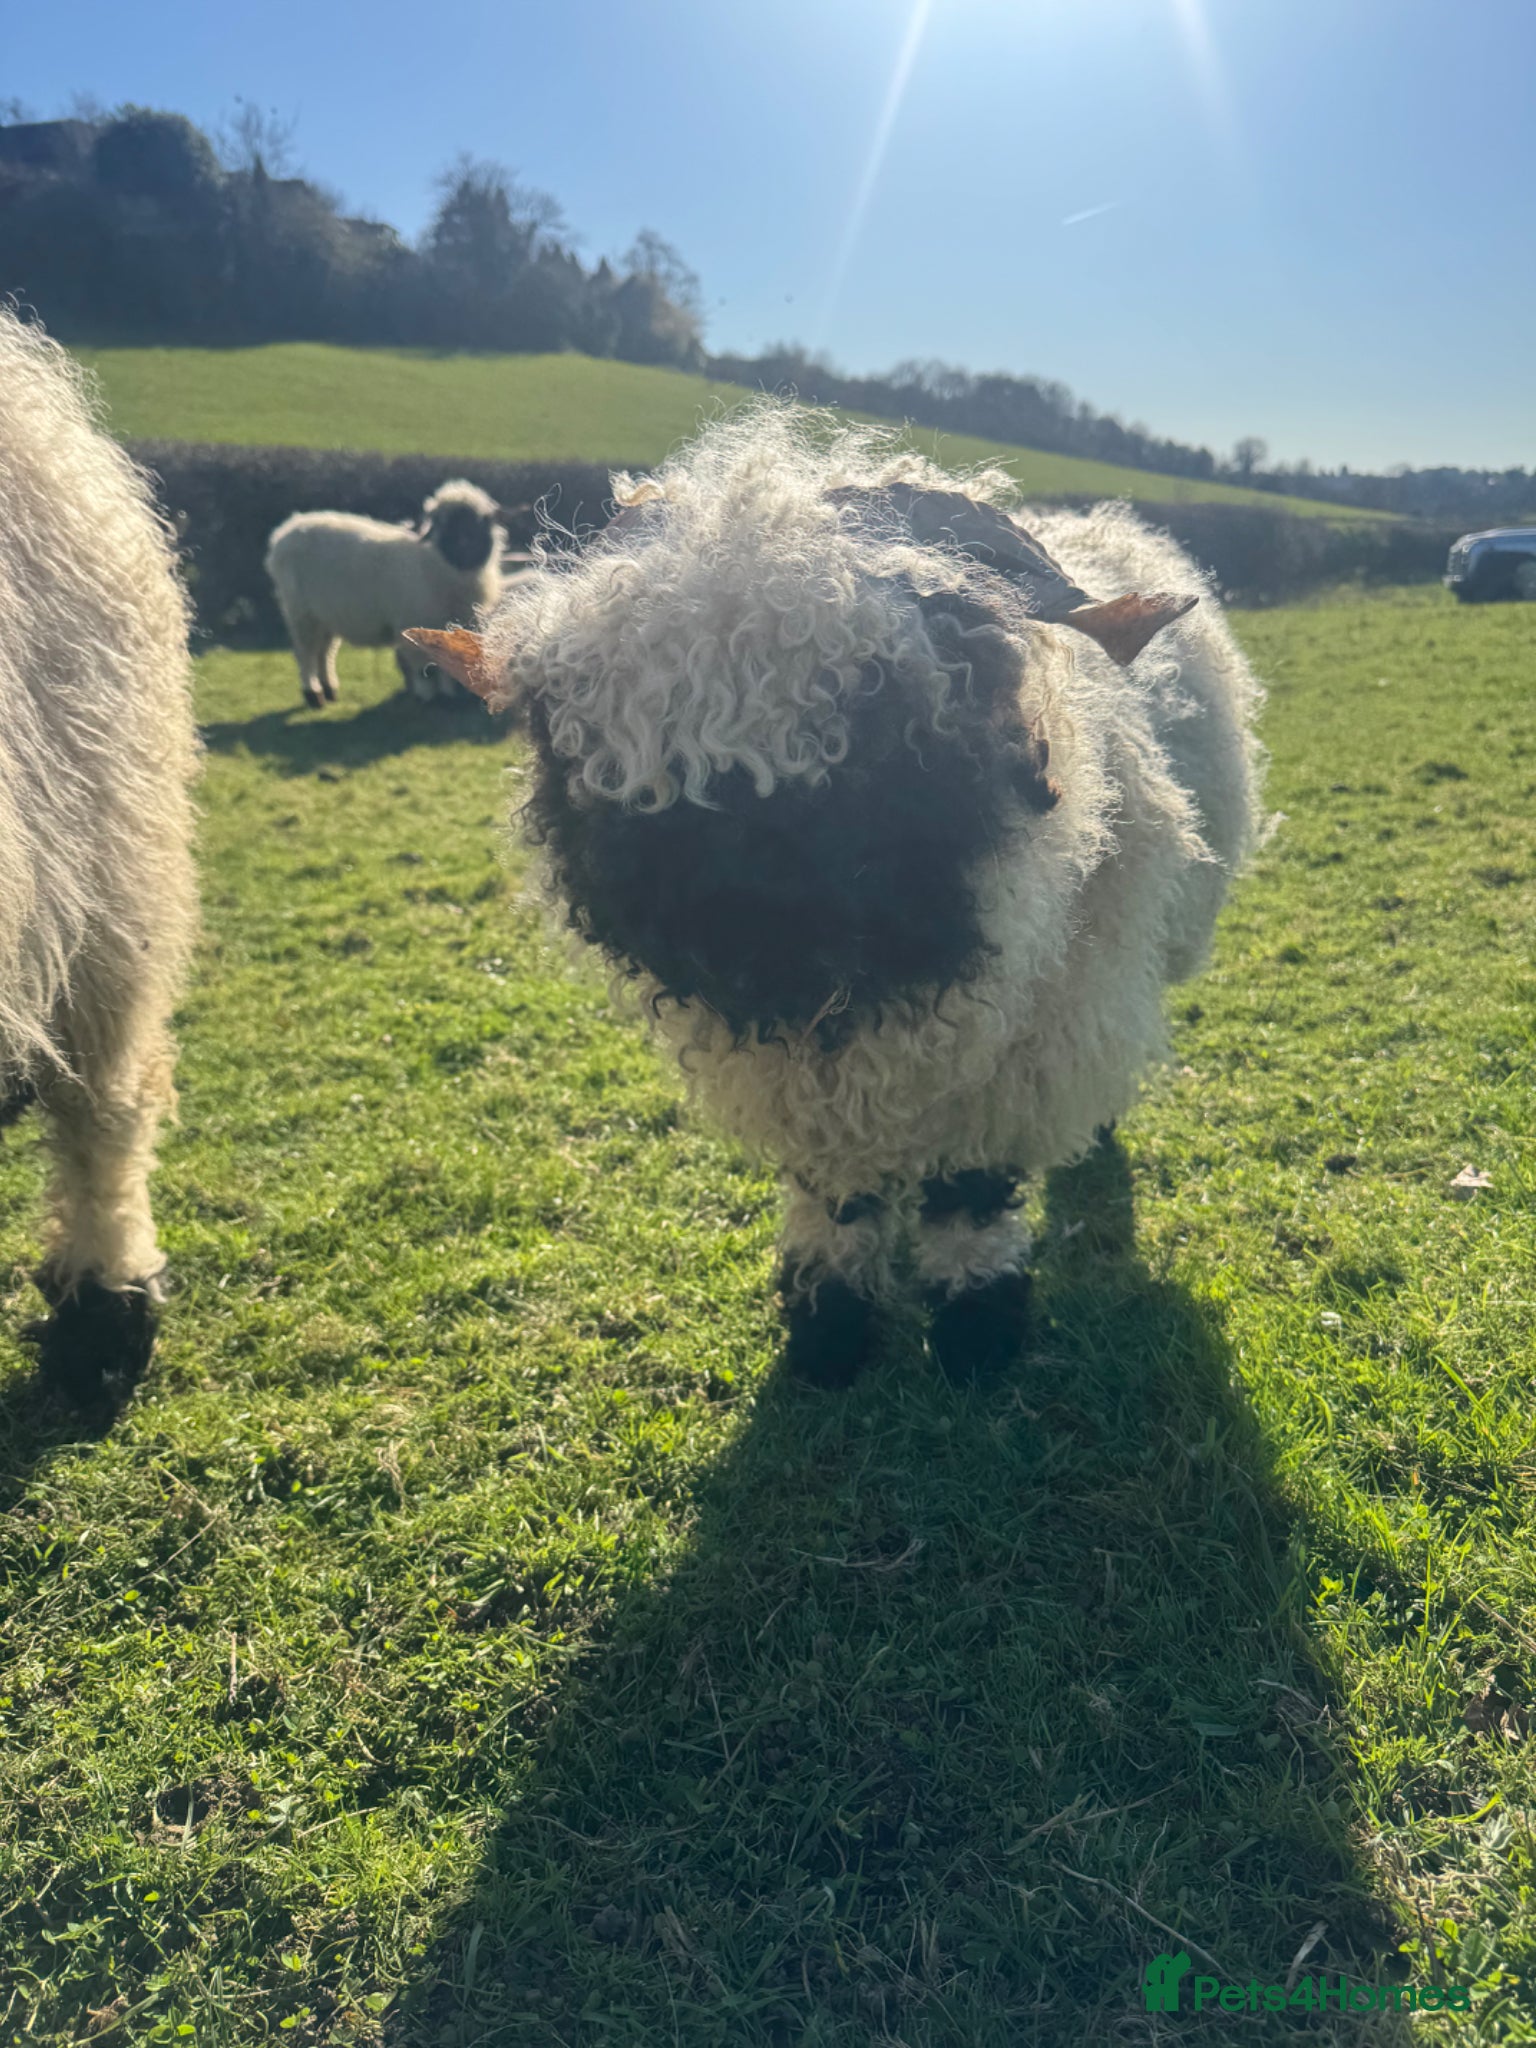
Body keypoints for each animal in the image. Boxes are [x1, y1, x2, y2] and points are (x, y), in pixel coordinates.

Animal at [264, 480, 506, 709]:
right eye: (443, 523)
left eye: (480, 522)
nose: (464, 544)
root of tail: (284, 532)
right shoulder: (413, 621)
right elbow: (424, 669)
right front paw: (429, 698)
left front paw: (449, 698)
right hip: (300, 611)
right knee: (305, 653)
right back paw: (313, 695)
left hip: (325, 614)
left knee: (324, 652)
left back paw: (330, 690)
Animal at [409, 405, 1264, 1386]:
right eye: (592, 733)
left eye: (878, 701)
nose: (722, 901)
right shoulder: (797, 1083)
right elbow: (834, 1195)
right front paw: (829, 1324)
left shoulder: (1018, 1052)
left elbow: (970, 1192)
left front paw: (978, 1329)